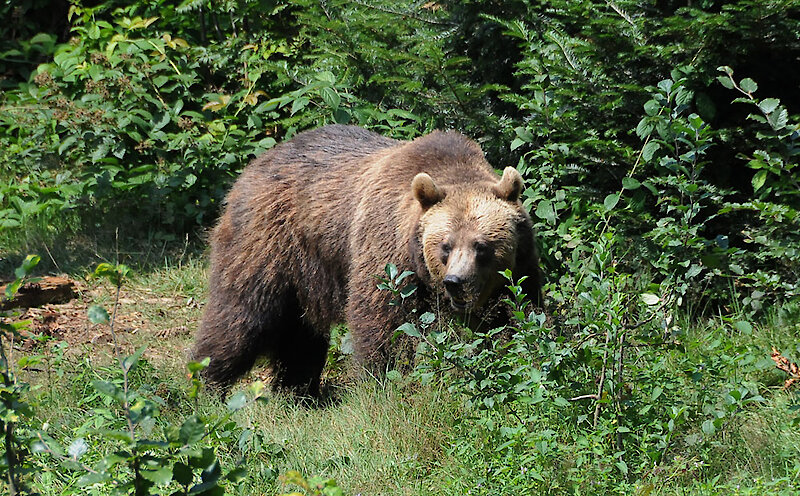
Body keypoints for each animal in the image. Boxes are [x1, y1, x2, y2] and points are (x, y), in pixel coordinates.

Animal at [192, 124, 544, 396]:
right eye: (445, 245)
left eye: (481, 246)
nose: (455, 283)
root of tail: (254, 165)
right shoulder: (386, 252)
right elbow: (381, 323)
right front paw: (382, 381)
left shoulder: (520, 268)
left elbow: (520, 316)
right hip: (268, 243)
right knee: (240, 315)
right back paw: (206, 383)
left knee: (299, 335)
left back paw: (297, 391)